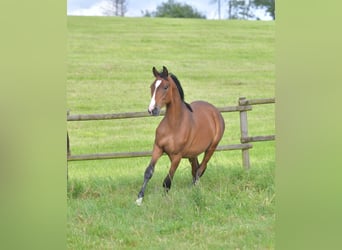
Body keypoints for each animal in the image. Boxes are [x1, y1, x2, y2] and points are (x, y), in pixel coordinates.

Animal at [135, 66, 226, 205]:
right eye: (152, 86)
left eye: (165, 87)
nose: (152, 110)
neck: (174, 125)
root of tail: (215, 112)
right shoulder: (158, 148)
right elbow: (148, 172)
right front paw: (139, 199)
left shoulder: (177, 156)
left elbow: (167, 181)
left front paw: (165, 200)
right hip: (192, 154)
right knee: (195, 169)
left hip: (211, 148)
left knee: (200, 169)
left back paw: (194, 190)